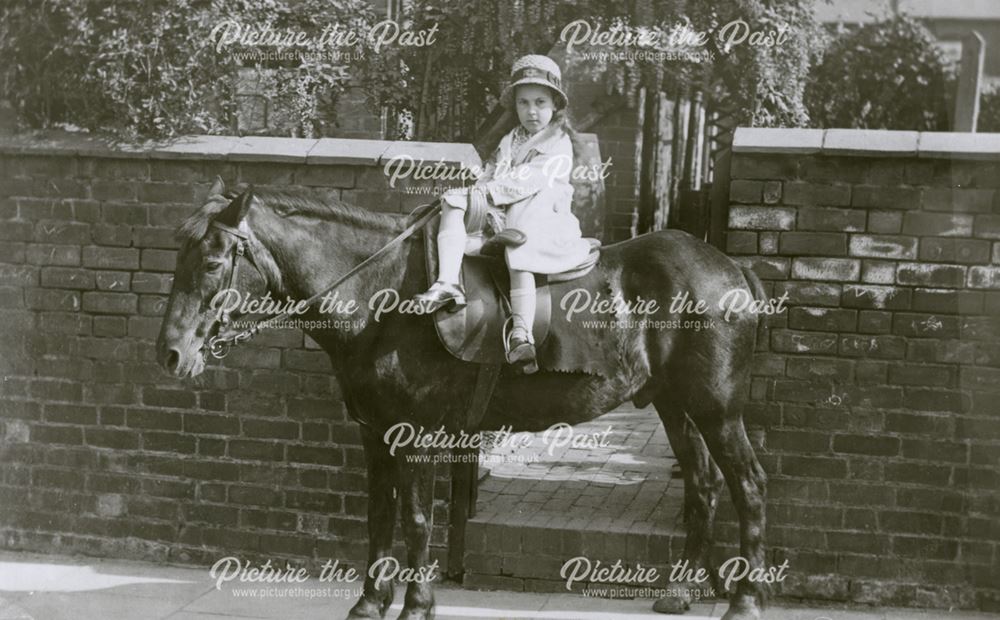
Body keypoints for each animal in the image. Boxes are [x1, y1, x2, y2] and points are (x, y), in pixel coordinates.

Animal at [154, 177, 764, 616]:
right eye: (177, 256)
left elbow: (417, 519)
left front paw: (416, 605)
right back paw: (682, 590)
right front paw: (370, 602)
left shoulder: (417, 432)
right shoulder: (375, 433)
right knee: (704, 485)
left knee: (748, 486)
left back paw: (746, 601)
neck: (381, 298)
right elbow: (379, 516)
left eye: (212, 262)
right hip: (675, 405)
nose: (171, 354)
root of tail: (730, 268)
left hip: (717, 409)